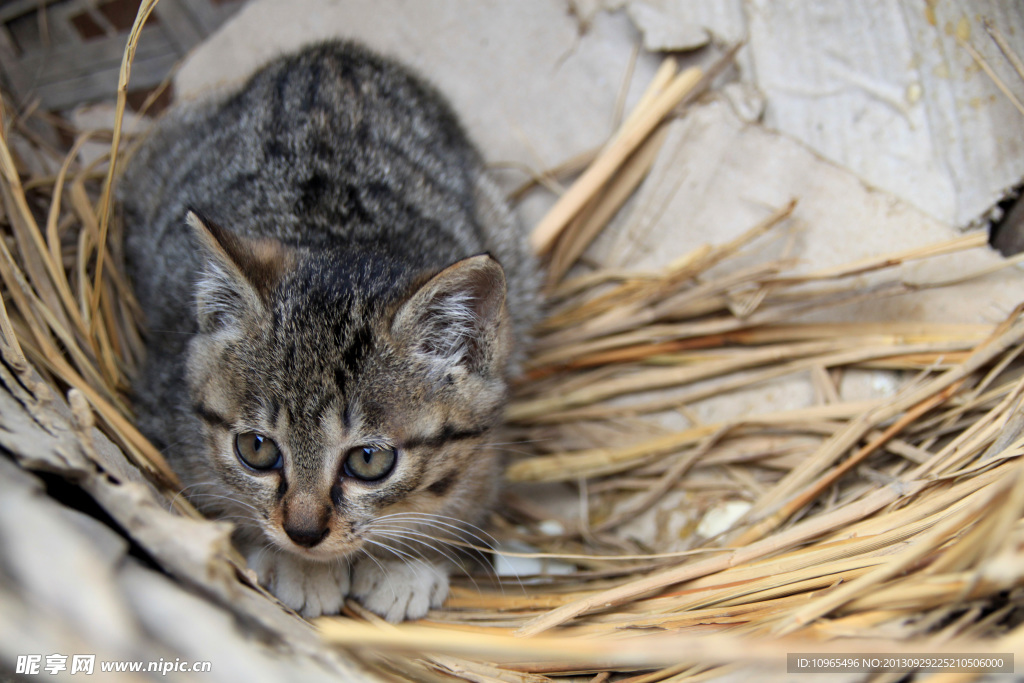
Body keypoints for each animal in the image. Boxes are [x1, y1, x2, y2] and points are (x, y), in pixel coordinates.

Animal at [117, 40, 536, 622]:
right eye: (256, 448)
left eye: (369, 460)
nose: (304, 532)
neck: (335, 236)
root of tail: (333, 53)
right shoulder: (171, 421)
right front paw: (297, 566)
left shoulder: (486, 457)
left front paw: (409, 562)